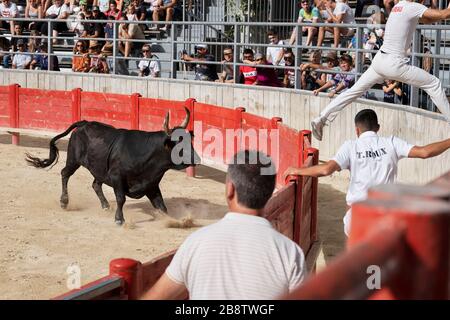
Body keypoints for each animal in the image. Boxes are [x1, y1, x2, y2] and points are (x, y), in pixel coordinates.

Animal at [25, 107, 200, 225]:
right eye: (179, 146)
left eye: (189, 142)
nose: (196, 159)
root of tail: (84, 123)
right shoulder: (117, 177)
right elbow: (121, 198)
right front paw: (119, 219)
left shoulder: (151, 185)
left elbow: (162, 206)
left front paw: (176, 222)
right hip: (73, 160)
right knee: (64, 173)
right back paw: (64, 201)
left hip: (99, 169)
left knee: (95, 184)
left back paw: (105, 206)